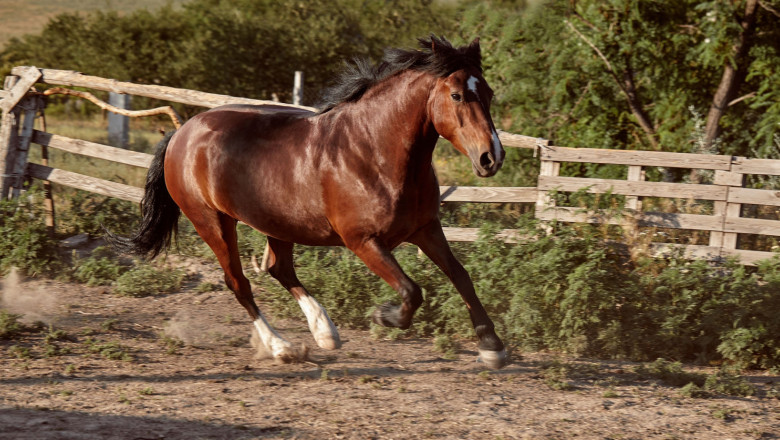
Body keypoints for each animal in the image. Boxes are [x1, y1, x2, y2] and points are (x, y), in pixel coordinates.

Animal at [109, 35, 508, 369]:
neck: (375, 151)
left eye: (488, 92)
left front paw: (492, 348)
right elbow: (412, 290)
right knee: (238, 282)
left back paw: (324, 333)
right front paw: (384, 316)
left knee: (279, 269)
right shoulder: (363, 241)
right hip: (212, 222)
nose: (492, 157)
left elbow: (461, 276)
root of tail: (183, 132)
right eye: (457, 95)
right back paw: (281, 347)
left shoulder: (425, 228)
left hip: (276, 222)